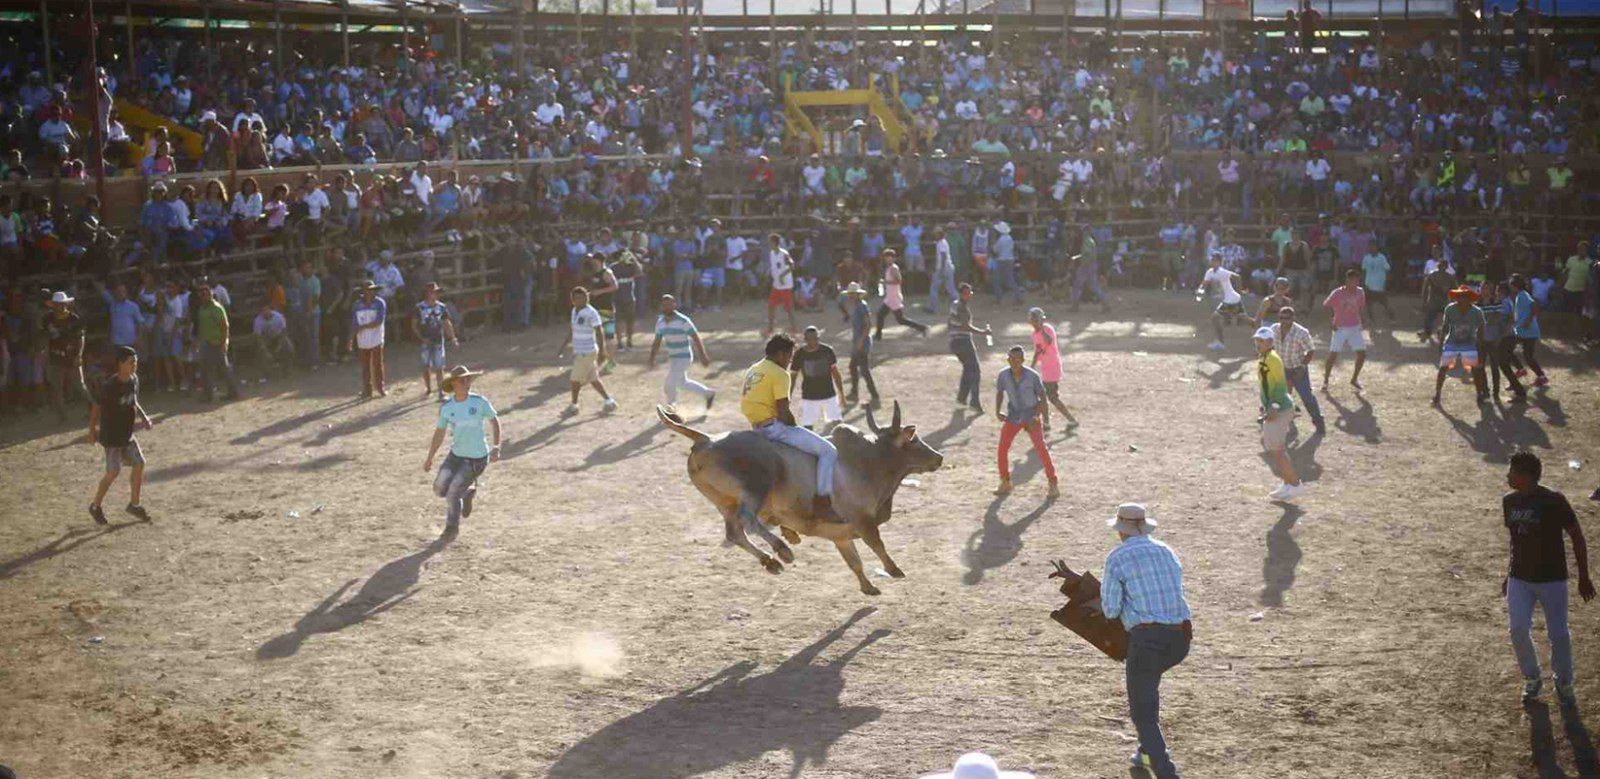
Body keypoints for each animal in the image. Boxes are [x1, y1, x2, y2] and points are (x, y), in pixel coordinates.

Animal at [656, 403, 940, 598]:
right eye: (914, 440)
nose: (939, 457)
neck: (869, 460)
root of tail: (705, 439)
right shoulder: (863, 521)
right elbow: (877, 545)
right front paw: (894, 570)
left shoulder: (841, 536)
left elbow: (854, 561)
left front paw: (868, 587)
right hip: (756, 488)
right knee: (748, 521)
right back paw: (782, 549)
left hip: (723, 502)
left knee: (734, 532)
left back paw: (770, 561)